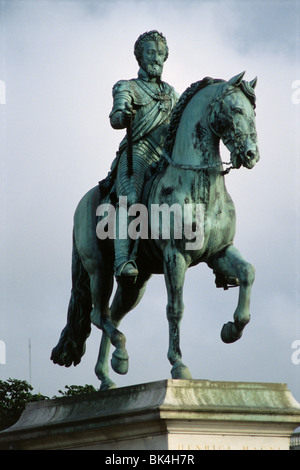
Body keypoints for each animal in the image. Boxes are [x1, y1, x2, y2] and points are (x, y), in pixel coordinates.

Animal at [51, 71, 260, 392]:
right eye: (236, 109)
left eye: (254, 112)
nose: (251, 155)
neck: (198, 184)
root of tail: (83, 203)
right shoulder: (175, 257)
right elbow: (175, 308)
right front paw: (179, 364)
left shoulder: (219, 252)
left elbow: (248, 273)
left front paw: (231, 329)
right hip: (99, 269)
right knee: (99, 314)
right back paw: (121, 356)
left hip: (135, 284)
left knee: (113, 315)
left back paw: (108, 375)